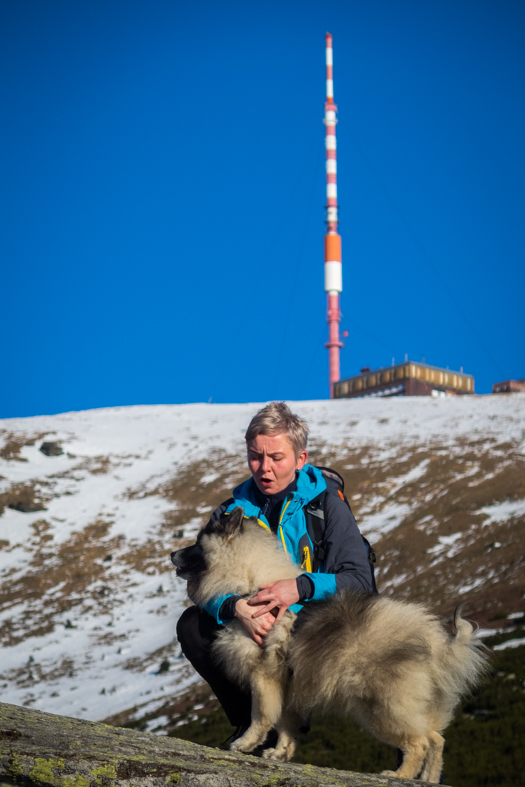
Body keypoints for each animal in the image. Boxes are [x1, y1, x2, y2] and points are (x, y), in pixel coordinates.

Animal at [172, 508, 488, 784]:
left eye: (197, 543)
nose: (172, 553)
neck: (252, 584)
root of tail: (435, 643)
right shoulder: (288, 685)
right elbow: (286, 723)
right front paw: (280, 752)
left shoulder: (264, 677)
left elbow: (261, 716)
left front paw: (245, 743)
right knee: (436, 738)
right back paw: (428, 779)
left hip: (382, 709)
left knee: (419, 742)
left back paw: (400, 775)